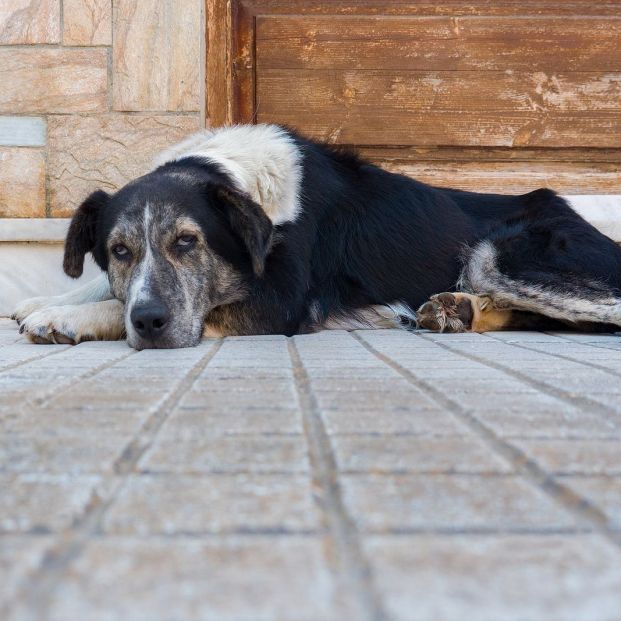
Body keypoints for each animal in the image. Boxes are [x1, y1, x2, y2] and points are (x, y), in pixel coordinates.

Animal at [9, 123, 620, 346]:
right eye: (119, 250)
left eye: (188, 242)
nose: (151, 324)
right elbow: (109, 290)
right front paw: (46, 300)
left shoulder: (279, 305)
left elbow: (138, 306)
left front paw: (63, 317)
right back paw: (457, 309)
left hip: (503, 251)